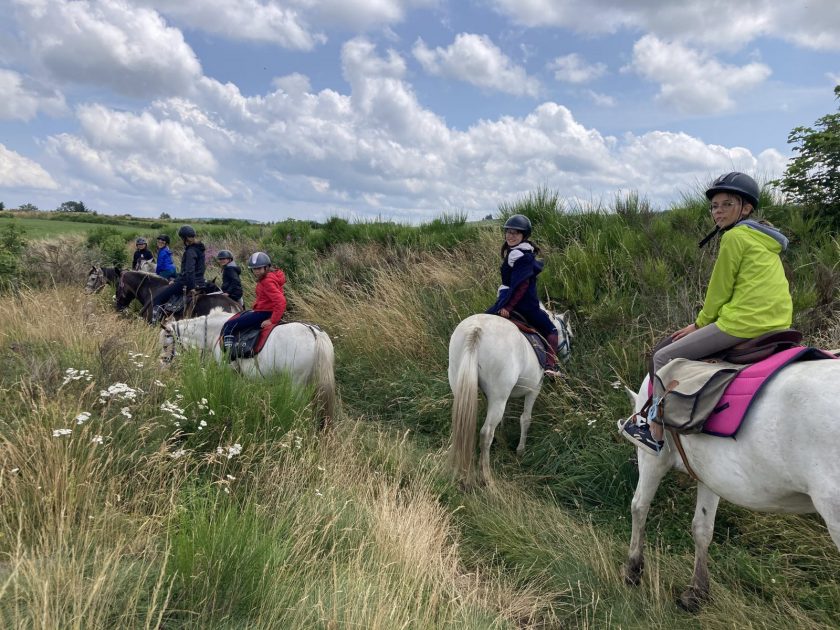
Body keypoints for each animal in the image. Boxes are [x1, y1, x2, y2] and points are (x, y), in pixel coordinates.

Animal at [159, 310, 336, 430]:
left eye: (165, 344)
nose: (162, 364)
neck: (216, 332)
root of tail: (314, 332)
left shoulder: (229, 372)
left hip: (296, 384)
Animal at [446, 308, 572, 486]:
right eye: (569, 335)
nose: (568, 359)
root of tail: (476, 329)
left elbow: (505, 418)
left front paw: (502, 437)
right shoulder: (534, 389)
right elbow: (525, 419)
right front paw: (520, 450)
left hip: (461, 385)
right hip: (499, 396)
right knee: (486, 433)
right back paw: (487, 477)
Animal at [620, 362, 840, 616]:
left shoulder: (654, 459)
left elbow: (639, 506)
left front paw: (633, 569)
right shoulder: (710, 474)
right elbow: (702, 528)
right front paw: (697, 593)